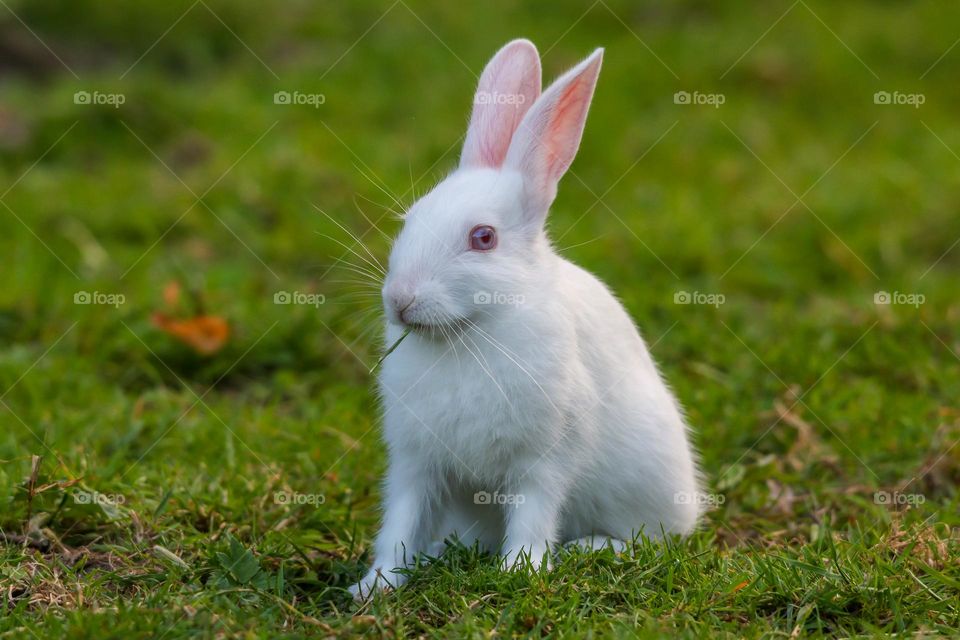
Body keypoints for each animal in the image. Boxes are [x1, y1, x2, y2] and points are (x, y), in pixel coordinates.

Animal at [348, 40, 700, 600]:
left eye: (484, 238)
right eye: (410, 219)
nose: (399, 300)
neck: (471, 330)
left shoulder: (543, 460)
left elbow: (534, 515)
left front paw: (522, 571)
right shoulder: (416, 463)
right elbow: (401, 521)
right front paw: (376, 584)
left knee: (651, 538)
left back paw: (590, 548)